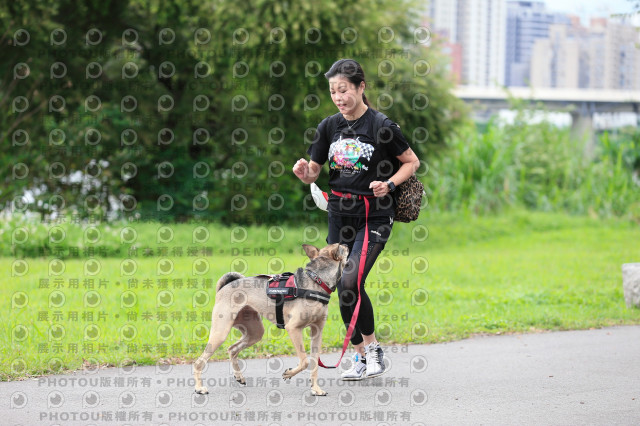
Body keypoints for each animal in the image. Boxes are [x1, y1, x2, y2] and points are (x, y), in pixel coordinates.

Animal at [192, 243, 348, 396]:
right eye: (343, 247)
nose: (347, 244)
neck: (317, 280)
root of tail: (223, 288)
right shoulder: (293, 328)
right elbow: (304, 362)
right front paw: (289, 373)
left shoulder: (317, 332)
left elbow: (314, 363)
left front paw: (315, 388)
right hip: (221, 332)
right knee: (199, 362)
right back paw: (199, 388)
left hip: (255, 332)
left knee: (232, 349)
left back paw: (238, 376)